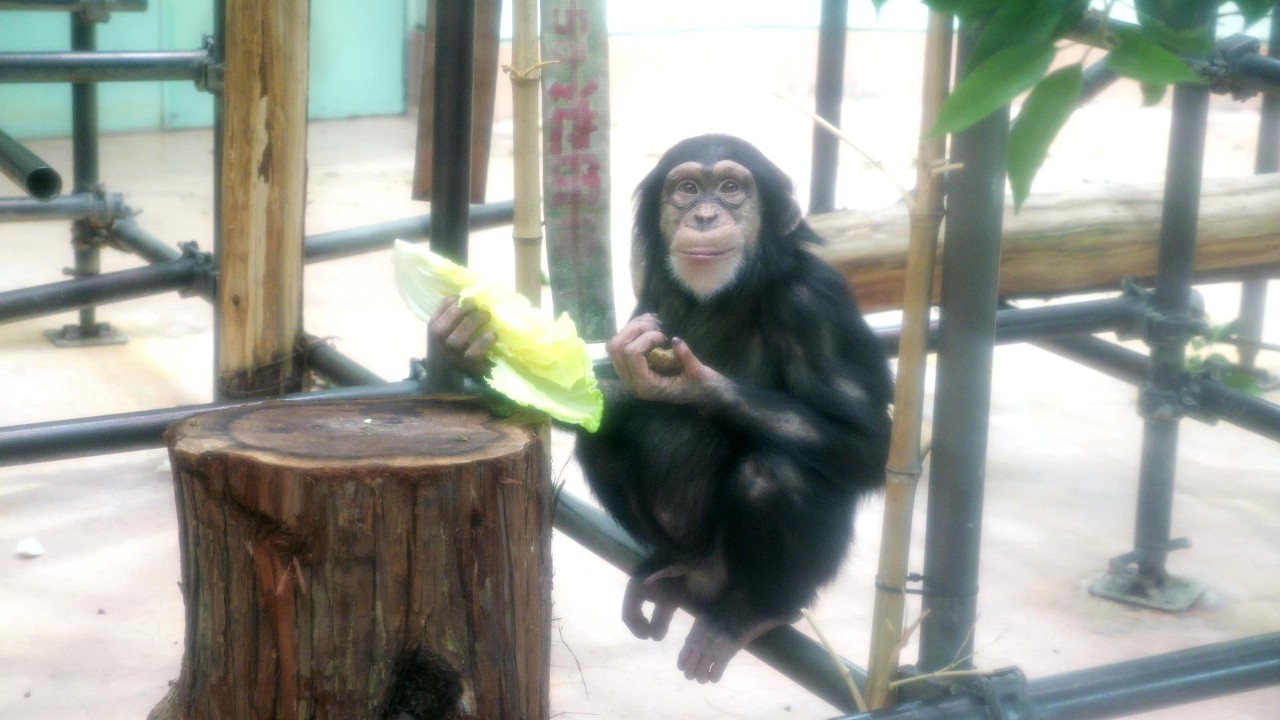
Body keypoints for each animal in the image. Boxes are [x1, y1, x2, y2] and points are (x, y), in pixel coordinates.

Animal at [431, 134, 892, 684]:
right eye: (687, 188)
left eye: (731, 187)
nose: (706, 215)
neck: (728, 294)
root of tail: (703, 577)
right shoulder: (652, 291)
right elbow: (596, 397)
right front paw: (471, 348)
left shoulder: (815, 304)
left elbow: (868, 444)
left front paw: (692, 384)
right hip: (686, 550)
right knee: (602, 442)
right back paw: (664, 571)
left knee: (775, 472)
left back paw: (752, 611)